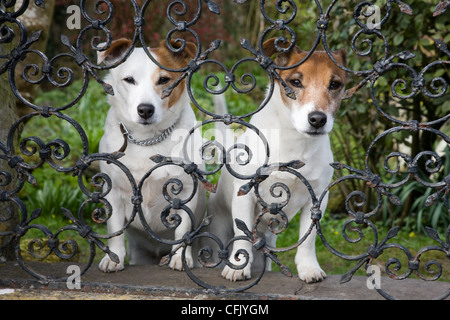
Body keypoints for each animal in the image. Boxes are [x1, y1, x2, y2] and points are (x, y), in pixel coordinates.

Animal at [97, 38, 207, 272]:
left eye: (164, 79)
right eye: (129, 80)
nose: (145, 109)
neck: (147, 139)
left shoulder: (186, 191)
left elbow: (182, 228)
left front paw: (180, 257)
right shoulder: (113, 192)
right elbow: (115, 230)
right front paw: (114, 258)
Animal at [207, 39, 348, 282]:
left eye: (335, 84)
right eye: (295, 82)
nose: (318, 119)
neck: (294, 142)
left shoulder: (317, 198)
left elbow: (309, 238)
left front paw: (308, 268)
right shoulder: (245, 194)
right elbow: (242, 233)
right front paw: (238, 267)